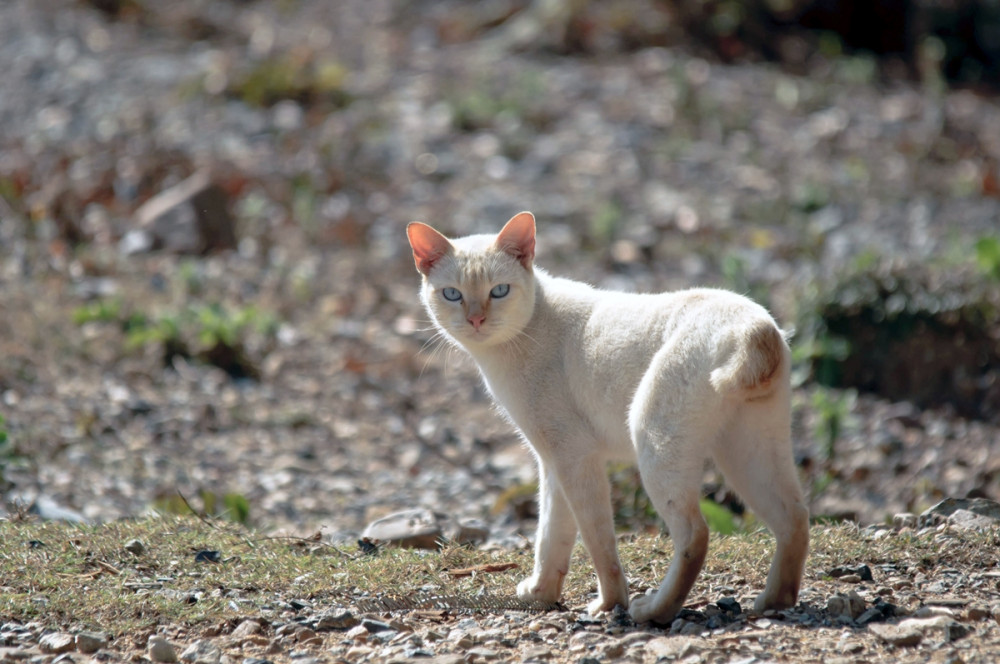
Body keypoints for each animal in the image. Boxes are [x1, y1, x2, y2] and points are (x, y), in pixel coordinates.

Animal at [404, 211, 804, 624]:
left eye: (499, 291)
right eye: (452, 294)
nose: (477, 320)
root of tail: (755, 329)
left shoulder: (575, 456)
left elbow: (596, 542)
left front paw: (610, 605)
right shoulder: (553, 461)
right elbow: (551, 534)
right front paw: (541, 595)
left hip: (655, 442)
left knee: (696, 534)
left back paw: (652, 611)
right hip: (750, 454)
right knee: (795, 519)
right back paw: (774, 602)